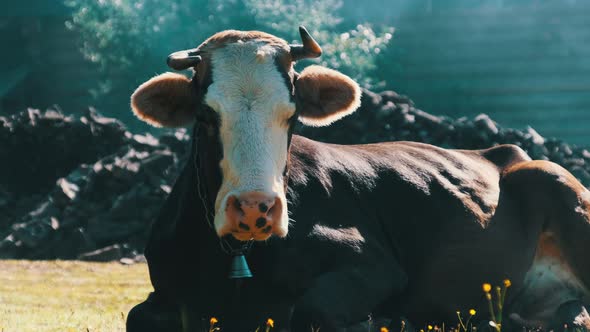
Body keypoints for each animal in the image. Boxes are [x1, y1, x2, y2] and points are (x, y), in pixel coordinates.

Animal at [126, 27, 590, 330]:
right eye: (206, 116)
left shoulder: (375, 265)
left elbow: (312, 309)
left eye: (292, 115)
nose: (255, 207)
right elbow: (137, 316)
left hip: (561, 187)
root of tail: (507, 153)